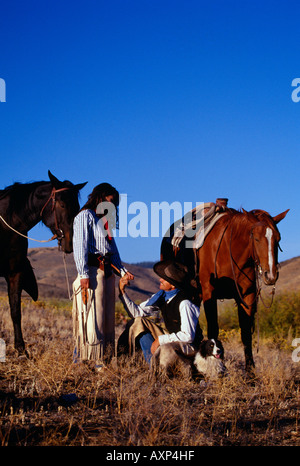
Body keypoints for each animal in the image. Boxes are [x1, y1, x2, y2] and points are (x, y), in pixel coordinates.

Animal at [0, 169, 86, 354]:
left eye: (77, 208)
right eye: (62, 205)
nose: (70, 243)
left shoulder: (15, 273)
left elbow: (15, 311)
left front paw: (21, 350)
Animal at [161, 205, 290, 372]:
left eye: (278, 239)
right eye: (256, 238)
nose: (271, 275)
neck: (231, 253)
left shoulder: (247, 296)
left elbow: (246, 333)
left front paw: (251, 373)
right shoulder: (209, 294)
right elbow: (213, 330)